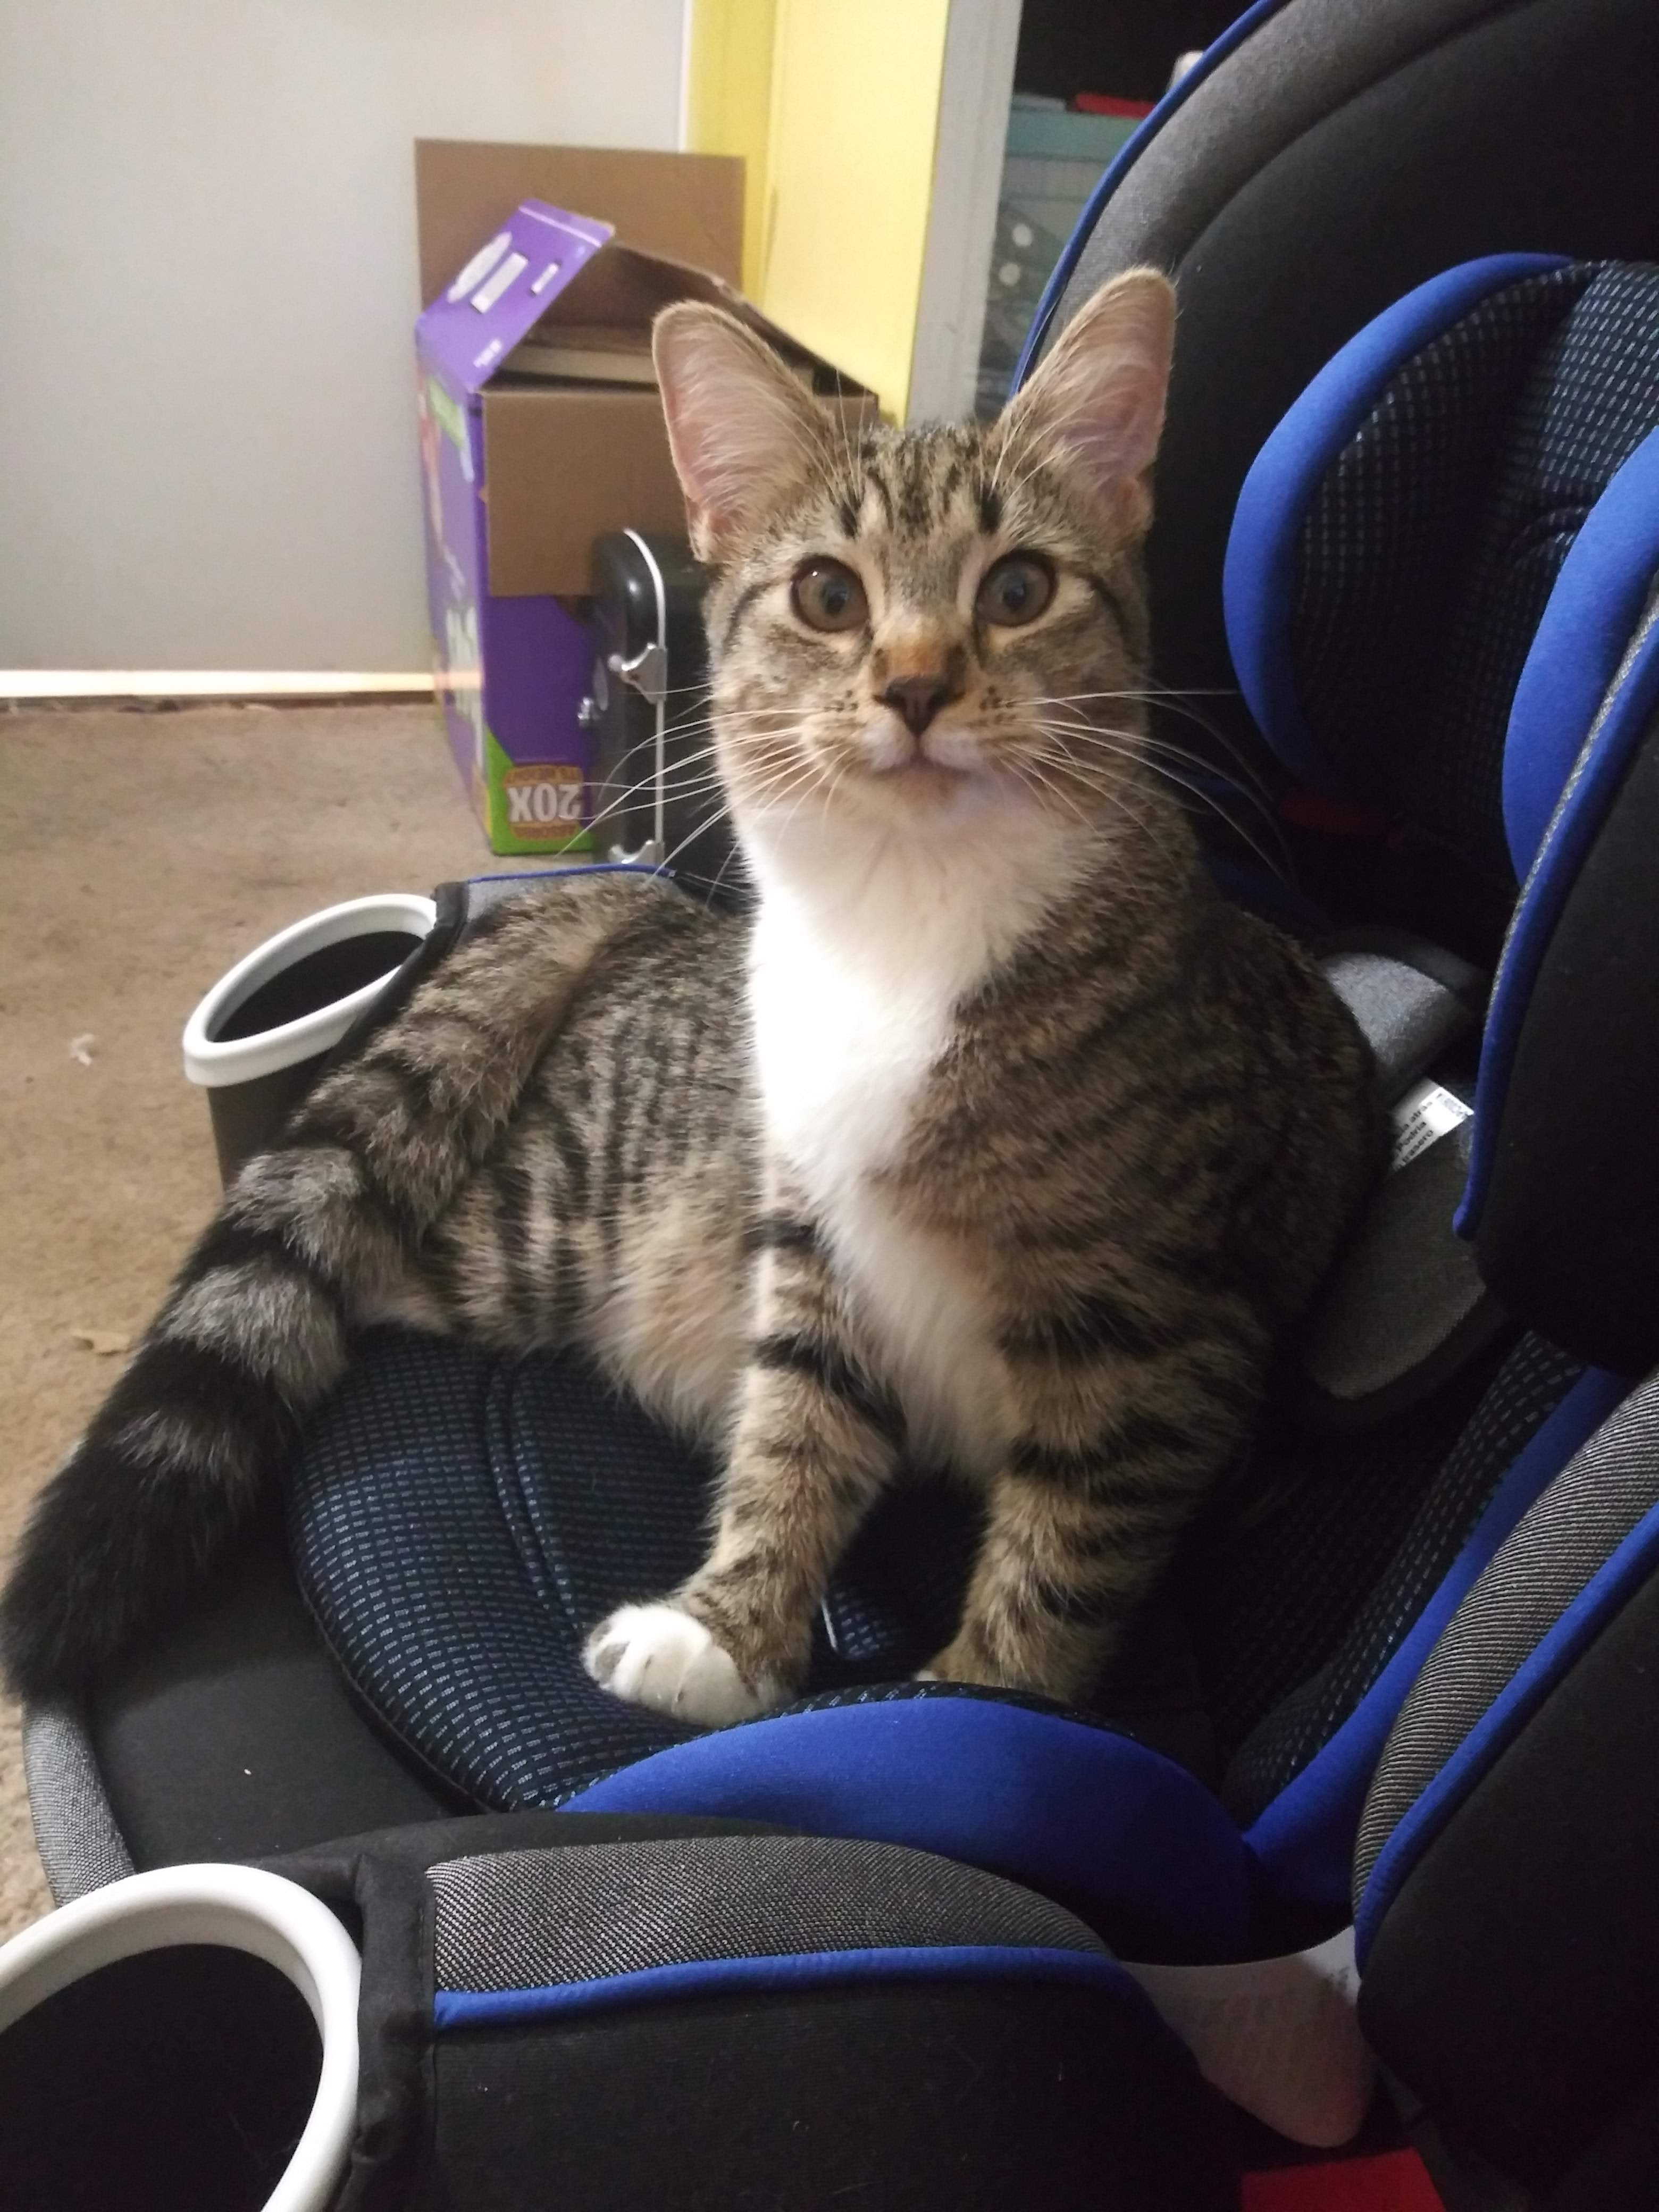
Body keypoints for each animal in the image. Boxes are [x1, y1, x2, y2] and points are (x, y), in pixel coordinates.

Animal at [1, 270, 1382, 1727]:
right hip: (546, 1228)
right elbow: (798, 1420)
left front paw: (977, 1700)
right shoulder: (808, 1239)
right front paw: (729, 1621)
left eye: (1019, 588)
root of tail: (634, 906)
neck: (899, 919)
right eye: (827, 594)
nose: (915, 684)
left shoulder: (1160, 1336)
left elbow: (1066, 1545)